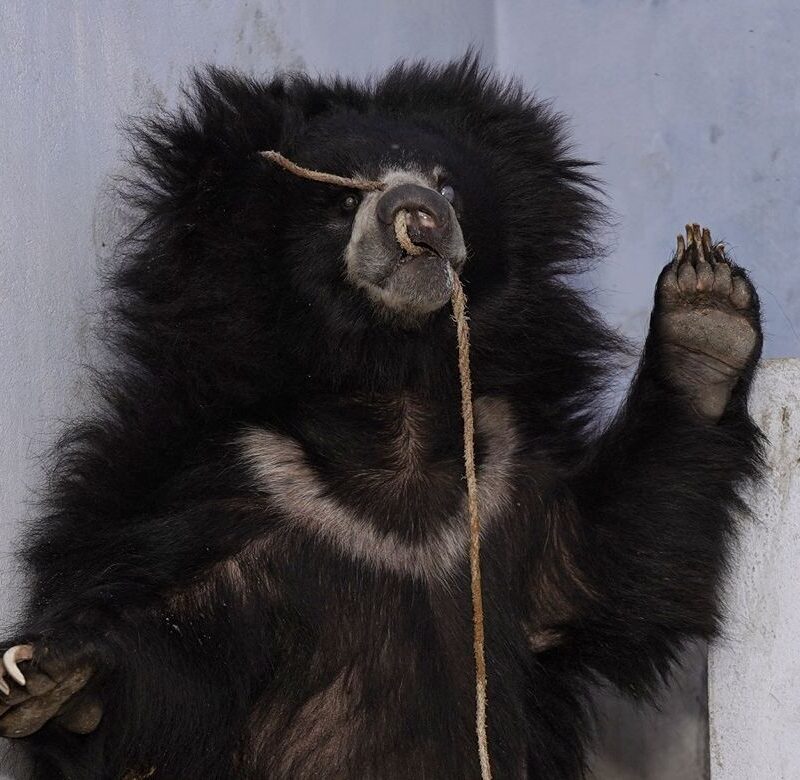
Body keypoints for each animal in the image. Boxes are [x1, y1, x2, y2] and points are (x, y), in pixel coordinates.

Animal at [0, 56, 762, 778]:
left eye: (447, 186)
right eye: (342, 198)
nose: (420, 218)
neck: (396, 405)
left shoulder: (509, 479)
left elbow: (610, 559)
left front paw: (705, 315)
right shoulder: (218, 490)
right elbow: (174, 661)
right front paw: (50, 676)